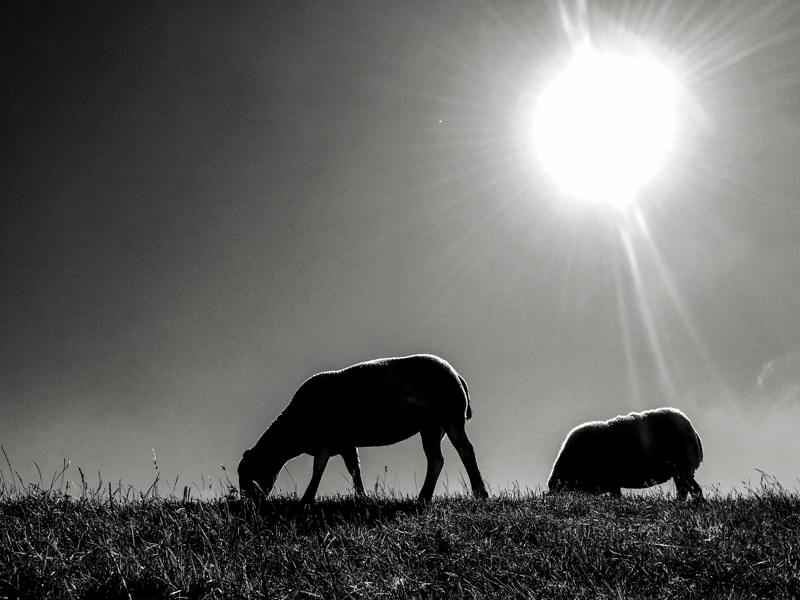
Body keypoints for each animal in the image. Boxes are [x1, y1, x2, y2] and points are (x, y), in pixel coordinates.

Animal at [234, 354, 490, 504]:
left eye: (245, 472)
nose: (248, 502)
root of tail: (456, 374)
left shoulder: (326, 440)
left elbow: (318, 468)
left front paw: (307, 500)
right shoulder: (346, 442)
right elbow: (354, 469)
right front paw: (362, 497)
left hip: (451, 416)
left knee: (466, 451)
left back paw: (480, 493)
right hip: (431, 426)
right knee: (436, 459)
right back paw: (423, 498)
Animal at [548, 406, 704, 500]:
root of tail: (694, 432)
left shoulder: (611, 478)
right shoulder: (612, 482)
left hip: (683, 466)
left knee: (694, 489)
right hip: (679, 471)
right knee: (685, 491)